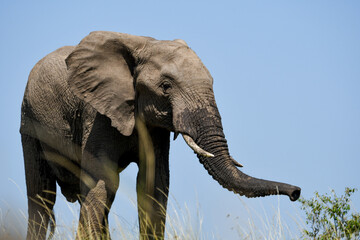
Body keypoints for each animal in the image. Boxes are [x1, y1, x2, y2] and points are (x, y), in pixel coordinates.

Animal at [20, 31, 300, 239]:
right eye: (166, 86)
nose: (296, 193)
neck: (143, 44)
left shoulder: (155, 131)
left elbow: (153, 185)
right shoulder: (97, 113)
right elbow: (103, 181)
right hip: (28, 122)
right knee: (41, 198)